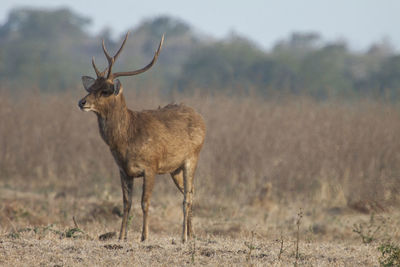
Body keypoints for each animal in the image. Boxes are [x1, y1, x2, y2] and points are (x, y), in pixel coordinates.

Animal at [77, 32, 206, 244]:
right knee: (192, 192)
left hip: (192, 157)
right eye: (91, 87)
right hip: (175, 169)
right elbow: (126, 203)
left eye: (105, 91)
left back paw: (184, 237)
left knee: (187, 196)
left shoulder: (150, 166)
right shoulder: (123, 170)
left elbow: (145, 202)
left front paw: (144, 236)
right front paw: (121, 236)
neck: (126, 139)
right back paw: (192, 233)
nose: (82, 102)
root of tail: (201, 119)